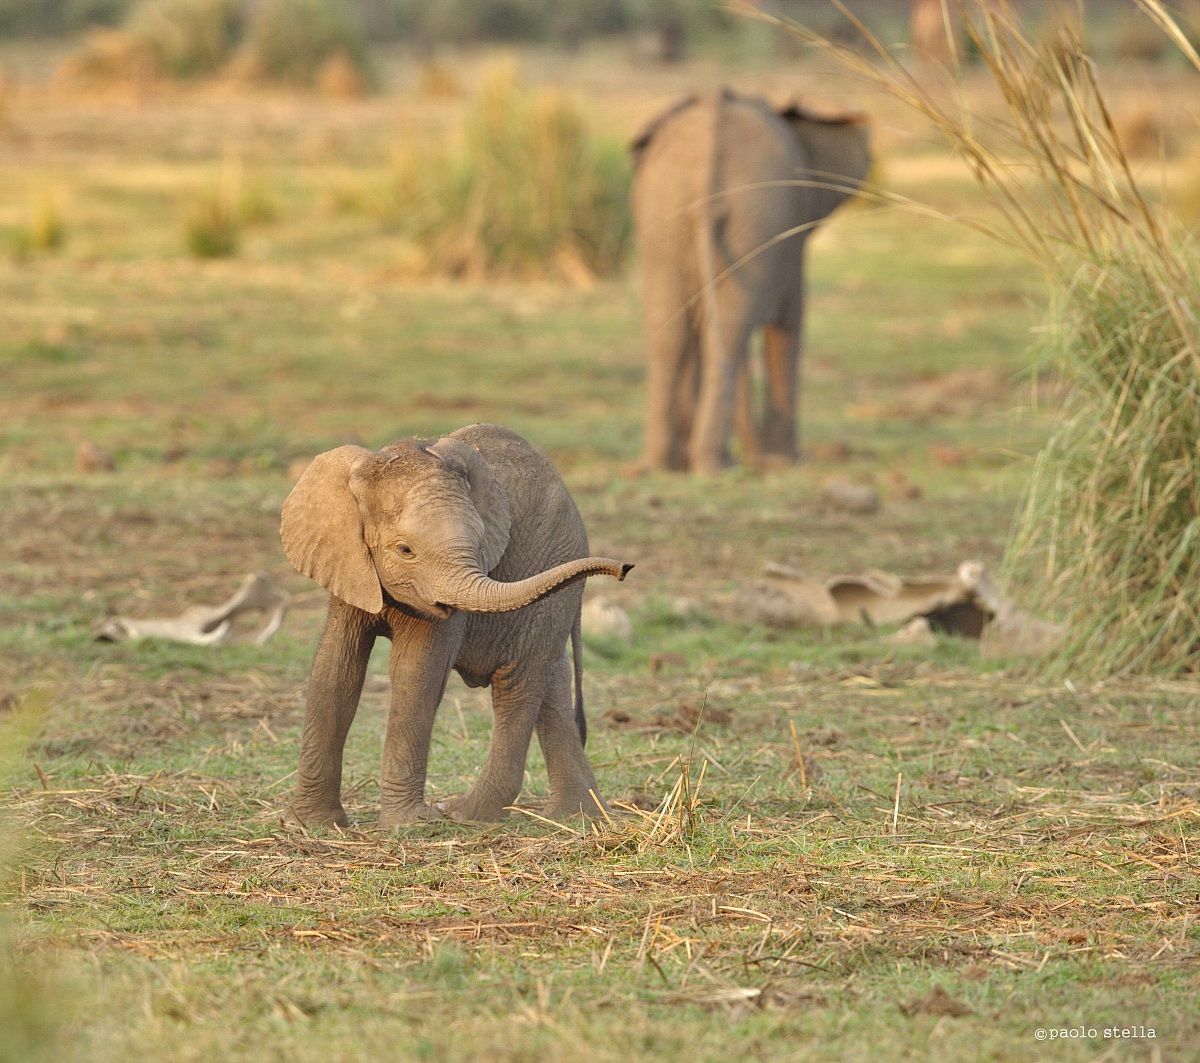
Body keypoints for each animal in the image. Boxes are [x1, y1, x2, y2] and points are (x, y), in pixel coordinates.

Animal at [280, 423, 633, 827]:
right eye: (405, 550)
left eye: (479, 543)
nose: (624, 568)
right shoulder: (348, 564)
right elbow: (336, 668)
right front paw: (309, 823)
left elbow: (414, 672)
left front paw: (409, 825)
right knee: (552, 678)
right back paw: (576, 815)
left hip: (555, 574)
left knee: (518, 682)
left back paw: (465, 813)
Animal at [632, 88, 871, 473]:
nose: (757, 458)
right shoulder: (789, 243)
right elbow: (787, 324)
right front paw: (785, 461)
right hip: (756, 218)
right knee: (729, 330)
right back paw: (715, 466)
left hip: (665, 221)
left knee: (673, 331)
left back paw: (662, 466)